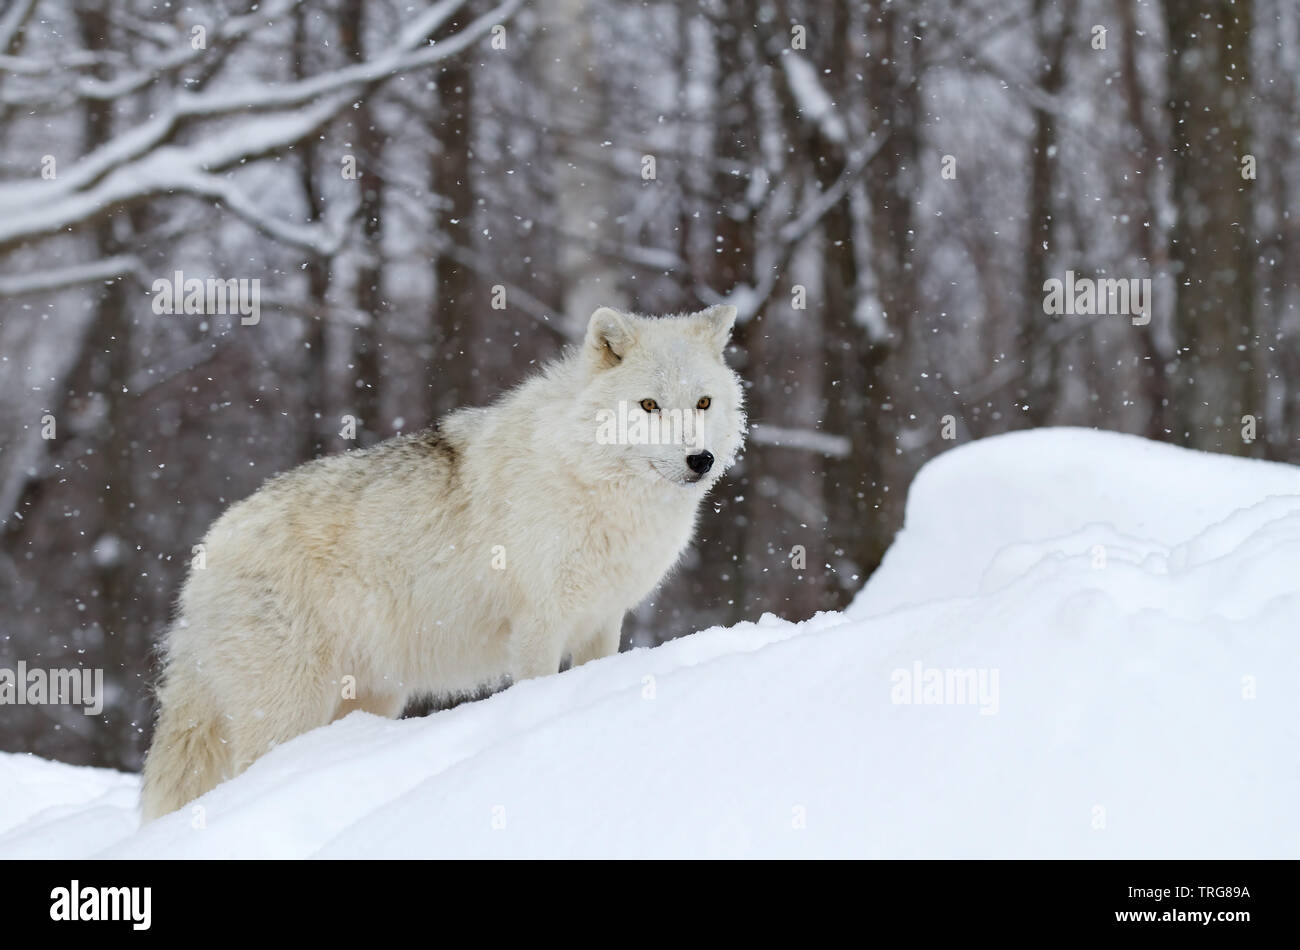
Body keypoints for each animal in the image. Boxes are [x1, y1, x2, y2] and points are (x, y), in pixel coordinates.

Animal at [140, 305, 745, 820]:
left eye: (703, 403)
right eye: (649, 406)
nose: (700, 459)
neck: (593, 483)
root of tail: (209, 548)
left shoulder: (602, 618)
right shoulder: (538, 626)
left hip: (369, 697)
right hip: (288, 709)